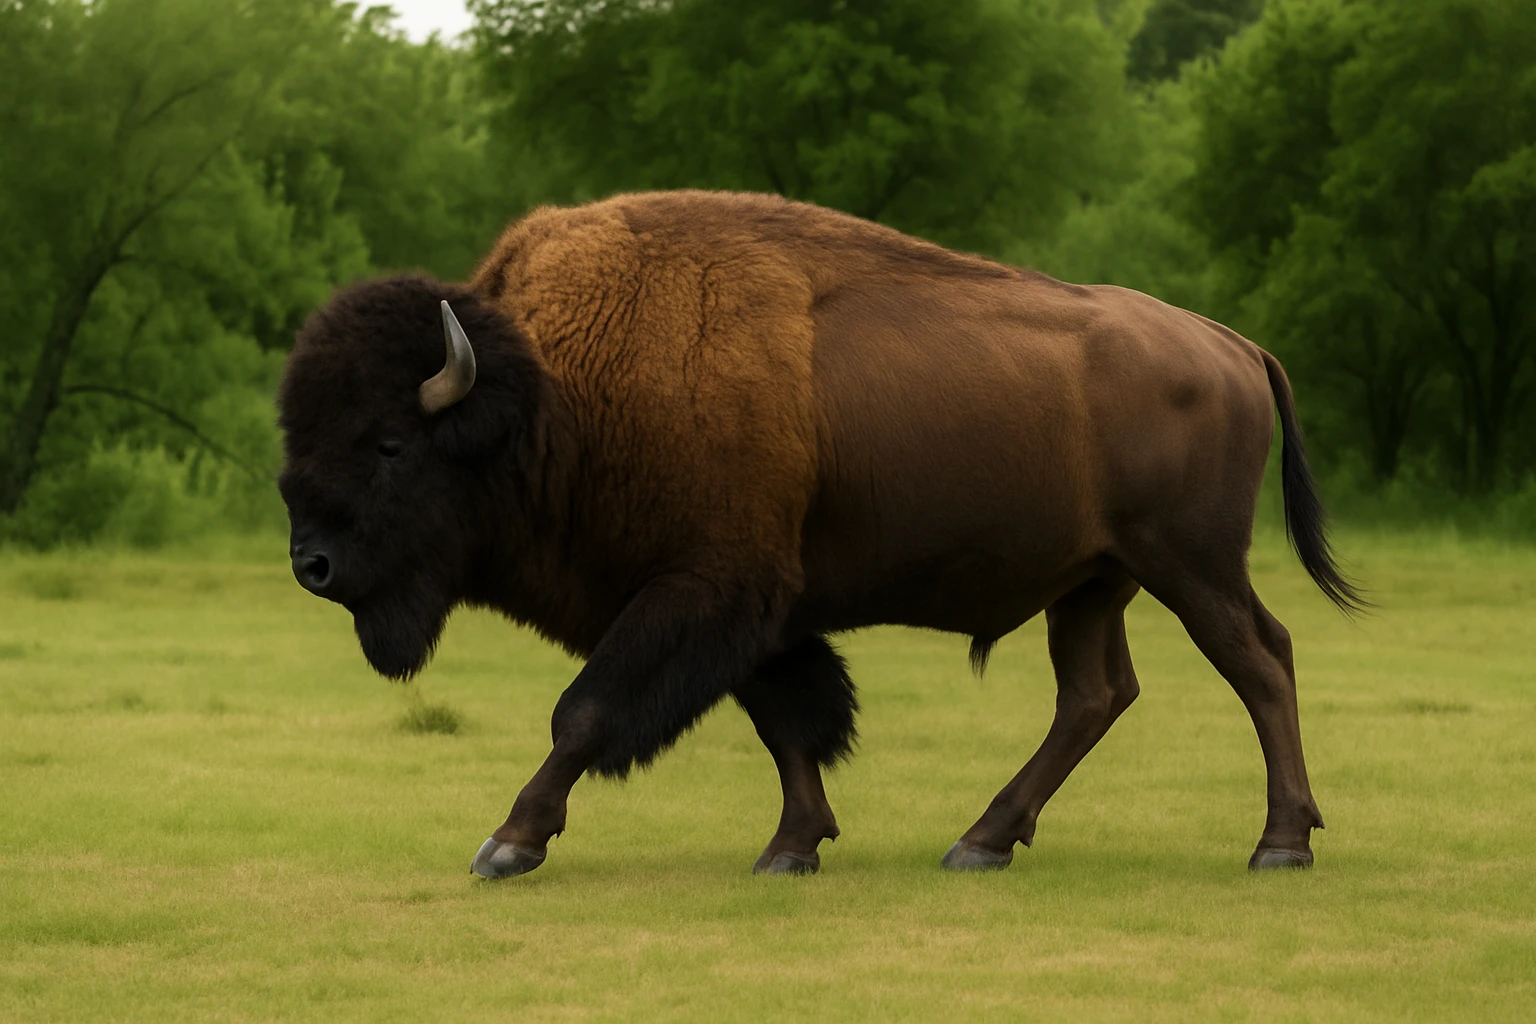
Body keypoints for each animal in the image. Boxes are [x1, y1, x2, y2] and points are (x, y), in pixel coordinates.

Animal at [277, 190, 1361, 880]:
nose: (312, 566)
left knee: (1262, 661)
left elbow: (585, 714)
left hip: (1191, 564)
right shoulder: (756, 608)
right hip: (1095, 580)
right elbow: (787, 720)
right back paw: (980, 842)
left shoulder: (702, 591)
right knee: (1095, 695)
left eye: (387, 444)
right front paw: (793, 847)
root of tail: (1232, 343)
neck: (552, 396)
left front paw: (509, 843)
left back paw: (1281, 844)